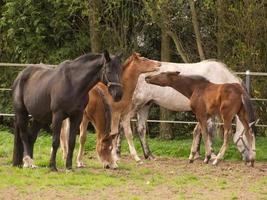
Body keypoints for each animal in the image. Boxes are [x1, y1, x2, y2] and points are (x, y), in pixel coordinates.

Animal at [116, 60, 258, 162]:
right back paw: (117, 154)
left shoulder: (205, 113)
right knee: (122, 125)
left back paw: (149, 155)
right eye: (247, 138)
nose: (249, 158)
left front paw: (197, 154)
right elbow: (208, 132)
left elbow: (199, 131)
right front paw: (211, 155)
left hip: (145, 105)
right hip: (135, 105)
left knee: (141, 129)